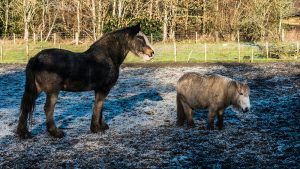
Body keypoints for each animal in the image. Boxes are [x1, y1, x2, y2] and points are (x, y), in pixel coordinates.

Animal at [16, 24, 155, 139]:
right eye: (139, 38)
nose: (152, 53)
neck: (108, 57)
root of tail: (36, 58)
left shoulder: (99, 89)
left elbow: (100, 107)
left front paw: (101, 126)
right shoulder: (103, 89)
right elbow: (98, 107)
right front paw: (96, 129)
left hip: (36, 89)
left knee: (26, 107)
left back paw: (24, 133)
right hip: (53, 91)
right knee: (48, 109)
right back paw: (56, 133)